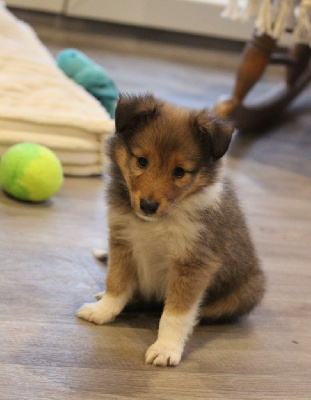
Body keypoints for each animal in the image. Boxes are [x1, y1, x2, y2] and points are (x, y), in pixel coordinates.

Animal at [78, 93, 266, 366]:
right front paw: (102, 312)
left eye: (179, 172)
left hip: (248, 290)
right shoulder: (123, 241)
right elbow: (116, 282)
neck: (158, 222)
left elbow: (175, 313)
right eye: (142, 161)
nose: (148, 206)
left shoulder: (194, 262)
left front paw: (165, 349)